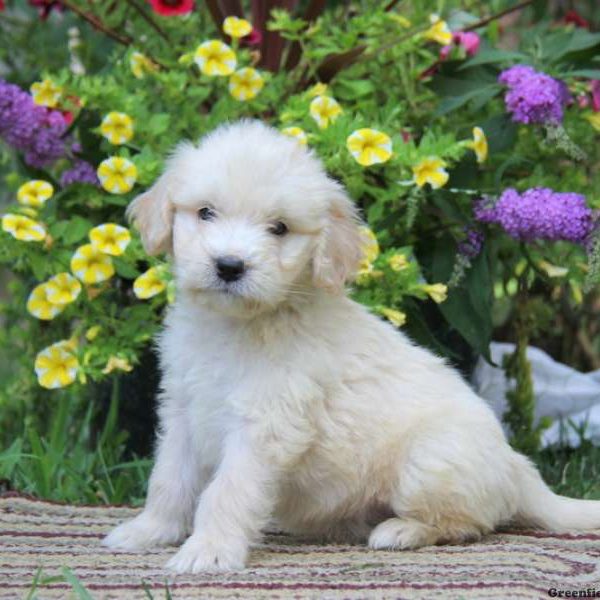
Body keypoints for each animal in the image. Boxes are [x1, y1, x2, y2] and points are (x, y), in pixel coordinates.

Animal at [103, 118, 600, 572]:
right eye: (205, 212)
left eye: (279, 228)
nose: (229, 265)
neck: (238, 325)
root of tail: (516, 466)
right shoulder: (182, 409)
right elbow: (168, 478)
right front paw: (149, 531)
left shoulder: (266, 426)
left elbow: (227, 490)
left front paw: (207, 551)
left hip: (429, 460)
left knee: (469, 523)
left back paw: (400, 531)